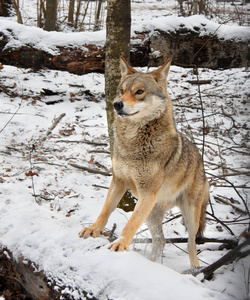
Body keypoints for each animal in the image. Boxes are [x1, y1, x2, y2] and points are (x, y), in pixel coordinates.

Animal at [80, 56, 209, 270]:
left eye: (139, 92)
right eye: (122, 91)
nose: (117, 104)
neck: (132, 143)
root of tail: (203, 166)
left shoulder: (147, 191)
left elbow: (131, 223)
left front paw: (121, 243)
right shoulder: (118, 181)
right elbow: (105, 210)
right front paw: (93, 229)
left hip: (189, 216)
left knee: (191, 244)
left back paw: (195, 270)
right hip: (150, 213)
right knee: (160, 240)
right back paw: (152, 263)